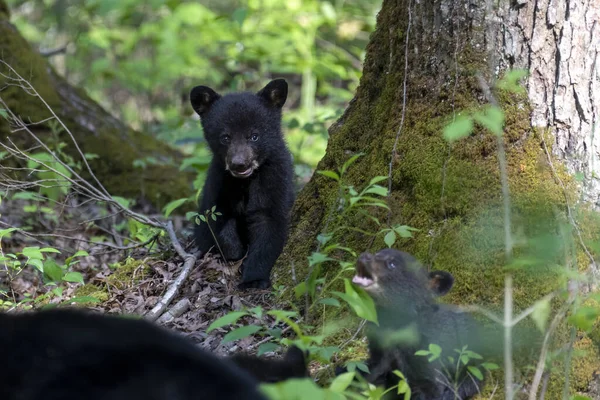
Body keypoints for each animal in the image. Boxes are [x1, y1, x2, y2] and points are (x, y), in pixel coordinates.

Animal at [189, 79, 294, 290]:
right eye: (225, 137)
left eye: (254, 135)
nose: (239, 164)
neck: (244, 182)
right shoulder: (219, 182)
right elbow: (217, 222)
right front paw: (234, 252)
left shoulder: (274, 177)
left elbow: (268, 223)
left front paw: (253, 279)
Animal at [346, 250, 492, 400]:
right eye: (378, 252)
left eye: (392, 263)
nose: (365, 256)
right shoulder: (380, 349)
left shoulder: (428, 352)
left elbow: (431, 386)